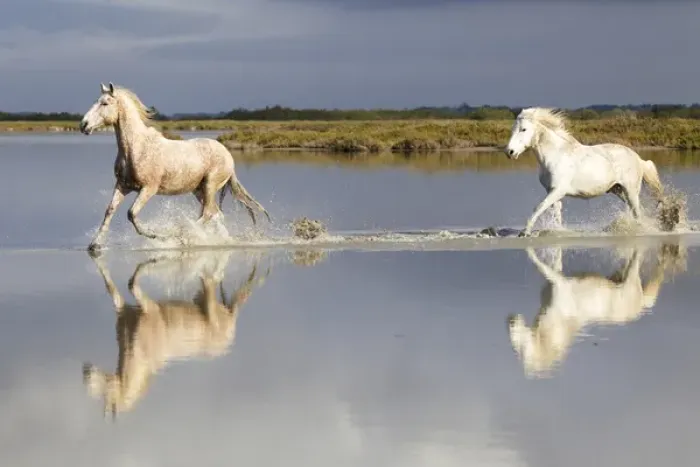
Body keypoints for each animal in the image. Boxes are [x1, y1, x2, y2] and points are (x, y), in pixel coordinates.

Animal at [79, 82, 271, 252]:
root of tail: (228, 155)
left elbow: (131, 213)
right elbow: (109, 211)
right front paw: (94, 245)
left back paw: (181, 236)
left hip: (210, 185)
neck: (136, 147)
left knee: (208, 214)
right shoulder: (123, 186)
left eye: (105, 103)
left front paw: (155, 235)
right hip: (199, 190)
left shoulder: (148, 188)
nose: (83, 125)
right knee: (216, 214)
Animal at [82, 251, 270, 419]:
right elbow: (112, 288)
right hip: (202, 298)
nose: (86, 372)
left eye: (106, 397)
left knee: (214, 279)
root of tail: (231, 329)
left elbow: (132, 282)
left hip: (210, 299)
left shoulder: (148, 305)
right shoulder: (123, 308)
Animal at [504, 107, 680, 237]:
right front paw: (557, 232)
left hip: (631, 191)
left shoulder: (558, 190)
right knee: (638, 211)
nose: (509, 152)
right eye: (513, 129)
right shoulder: (552, 192)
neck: (555, 154)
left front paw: (524, 233)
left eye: (524, 129)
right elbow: (556, 214)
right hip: (618, 190)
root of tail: (638, 158)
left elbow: (538, 207)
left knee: (637, 212)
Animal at [507, 243, 682, 378]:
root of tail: (638, 307)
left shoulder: (558, 280)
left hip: (631, 275)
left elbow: (538, 262)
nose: (510, 320)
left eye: (520, 350)